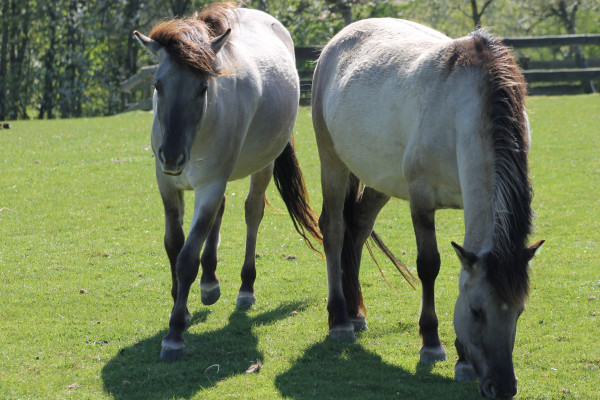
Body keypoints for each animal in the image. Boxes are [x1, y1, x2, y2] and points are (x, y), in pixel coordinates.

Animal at [134, 3, 322, 360]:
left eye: (202, 88)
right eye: (158, 85)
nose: (172, 156)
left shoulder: (209, 186)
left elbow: (187, 257)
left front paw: (175, 333)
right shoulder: (166, 184)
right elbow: (173, 244)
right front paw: (184, 306)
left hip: (262, 165)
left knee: (252, 214)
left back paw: (245, 288)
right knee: (220, 214)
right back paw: (210, 283)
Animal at [314, 19, 544, 400]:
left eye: (519, 312)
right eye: (476, 311)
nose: (502, 386)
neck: (462, 112)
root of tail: (337, 40)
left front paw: (463, 362)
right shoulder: (421, 199)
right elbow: (429, 266)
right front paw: (432, 344)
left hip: (381, 178)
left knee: (358, 227)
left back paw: (357, 313)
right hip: (332, 160)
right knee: (332, 229)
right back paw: (340, 320)